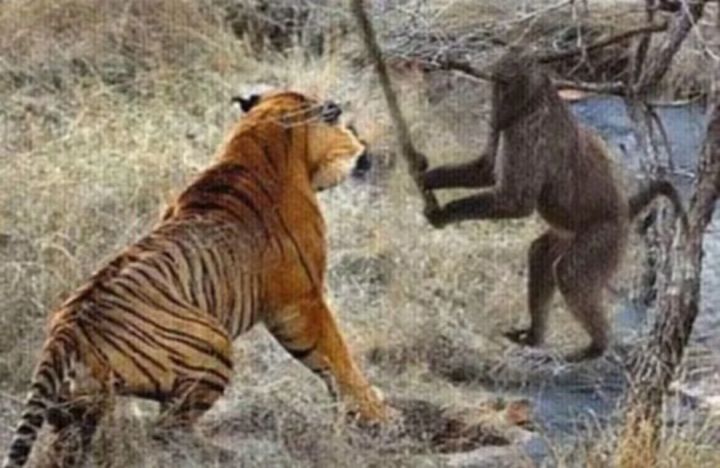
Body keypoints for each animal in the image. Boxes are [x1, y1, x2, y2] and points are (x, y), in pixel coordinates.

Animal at [3, 90, 389, 468]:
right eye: (344, 124)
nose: (365, 149)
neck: (257, 138)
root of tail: (65, 332)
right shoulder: (302, 302)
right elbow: (336, 356)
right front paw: (376, 414)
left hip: (75, 410)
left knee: (68, 448)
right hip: (213, 345)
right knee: (166, 431)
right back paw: (218, 452)